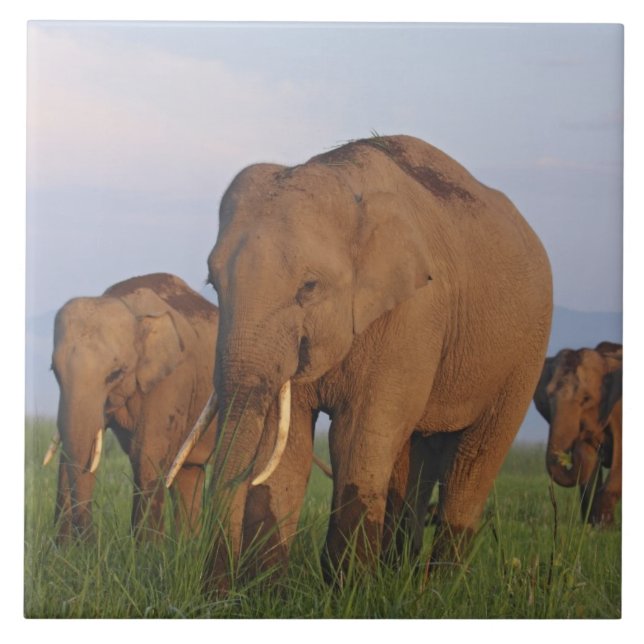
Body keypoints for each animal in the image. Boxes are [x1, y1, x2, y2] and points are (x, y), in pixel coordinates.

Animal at [45, 273, 219, 542]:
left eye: (115, 374)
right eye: (54, 371)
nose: (89, 543)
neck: (127, 305)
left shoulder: (172, 379)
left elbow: (146, 456)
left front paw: (146, 551)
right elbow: (69, 454)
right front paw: (63, 551)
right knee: (188, 472)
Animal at [191, 134, 552, 591]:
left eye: (309, 287)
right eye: (213, 284)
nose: (214, 595)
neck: (343, 178)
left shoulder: (413, 314)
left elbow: (356, 435)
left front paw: (345, 593)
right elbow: (286, 446)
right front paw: (269, 594)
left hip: (525, 352)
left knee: (473, 460)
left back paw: (438, 589)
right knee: (412, 458)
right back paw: (398, 577)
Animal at [533, 341, 622, 525]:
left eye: (586, 398)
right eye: (547, 397)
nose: (572, 452)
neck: (605, 360)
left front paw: (603, 527)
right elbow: (589, 470)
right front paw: (593, 526)